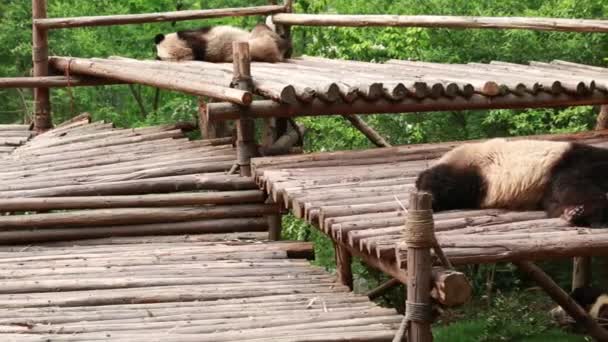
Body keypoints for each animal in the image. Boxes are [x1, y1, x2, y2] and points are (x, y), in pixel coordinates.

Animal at [416, 138, 608, 228]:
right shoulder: (576, 164)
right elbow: (570, 186)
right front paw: (586, 212)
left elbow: (555, 201)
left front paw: (574, 212)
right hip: (473, 168)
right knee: (448, 184)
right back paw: (430, 195)